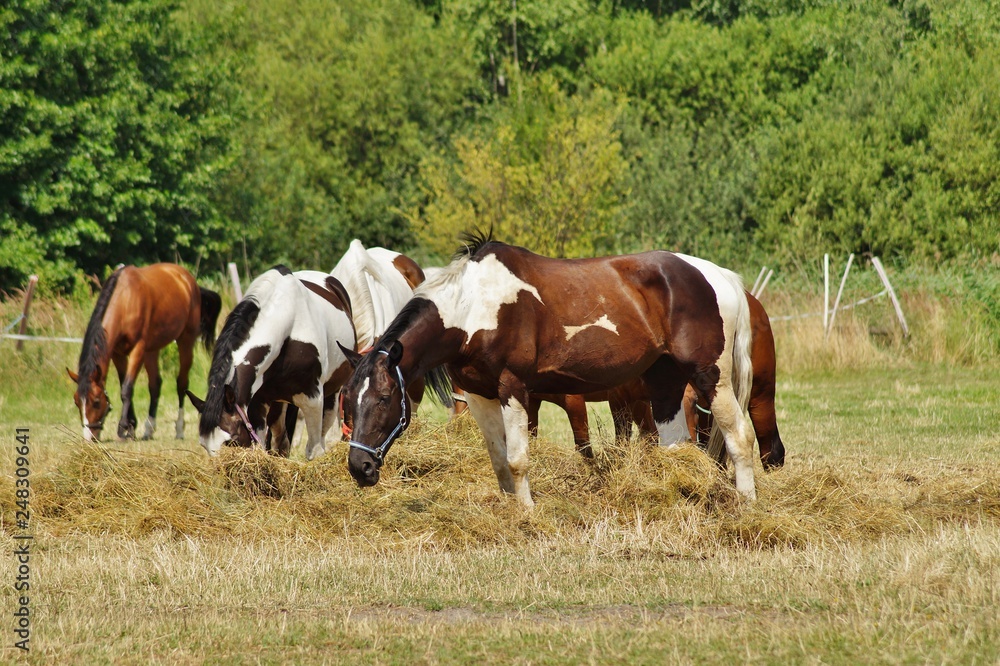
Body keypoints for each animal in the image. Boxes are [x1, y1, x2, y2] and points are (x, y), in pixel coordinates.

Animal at [68, 263, 221, 441]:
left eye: (97, 401)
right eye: (77, 402)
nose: (89, 437)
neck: (125, 300)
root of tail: (189, 280)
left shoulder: (138, 350)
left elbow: (127, 388)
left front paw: (123, 428)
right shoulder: (117, 353)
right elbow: (124, 384)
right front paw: (131, 427)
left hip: (185, 341)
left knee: (181, 384)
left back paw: (179, 429)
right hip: (152, 350)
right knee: (155, 385)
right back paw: (149, 429)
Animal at [186, 266, 355, 460]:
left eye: (232, 441)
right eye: (204, 445)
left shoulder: (313, 399)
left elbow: (315, 451)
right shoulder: (257, 403)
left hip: (332, 394)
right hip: (278, 404)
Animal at [339, 231, 757, 508]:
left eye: (385, 397)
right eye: (347, 399)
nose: (360, 467)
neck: (474, 306)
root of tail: (721, 277)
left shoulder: (513, 389)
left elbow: (518, 459)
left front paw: (528, 514)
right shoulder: (478, 395)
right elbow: (499, 461)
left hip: (710, 377)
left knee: (739, 436)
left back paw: (746, 505)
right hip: (664, 380)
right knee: (676, 445)